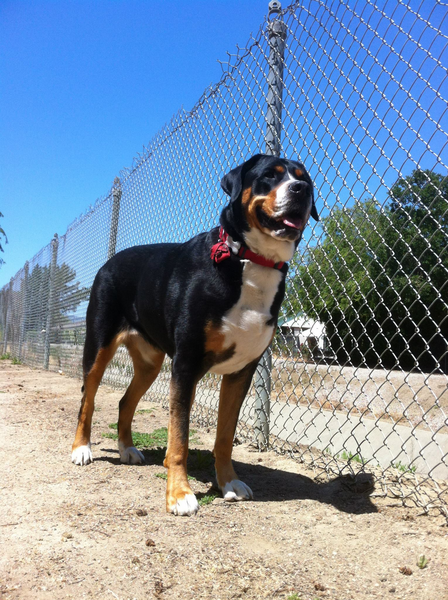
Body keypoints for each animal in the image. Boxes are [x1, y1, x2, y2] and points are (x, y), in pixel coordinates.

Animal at [72, 155, 318, 516]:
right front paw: (179, 494)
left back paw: (127, 449)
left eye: (305, 179)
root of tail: (110, 261)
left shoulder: (241, 373)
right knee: (87, 400)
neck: (247, 260)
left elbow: (225, 437)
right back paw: (81, 449)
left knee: (125, 401)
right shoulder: (185, 366)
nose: (300, 190)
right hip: (98, 348)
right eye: (269, 177)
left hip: (150, 364)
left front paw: (228, 481)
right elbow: (179, 439)